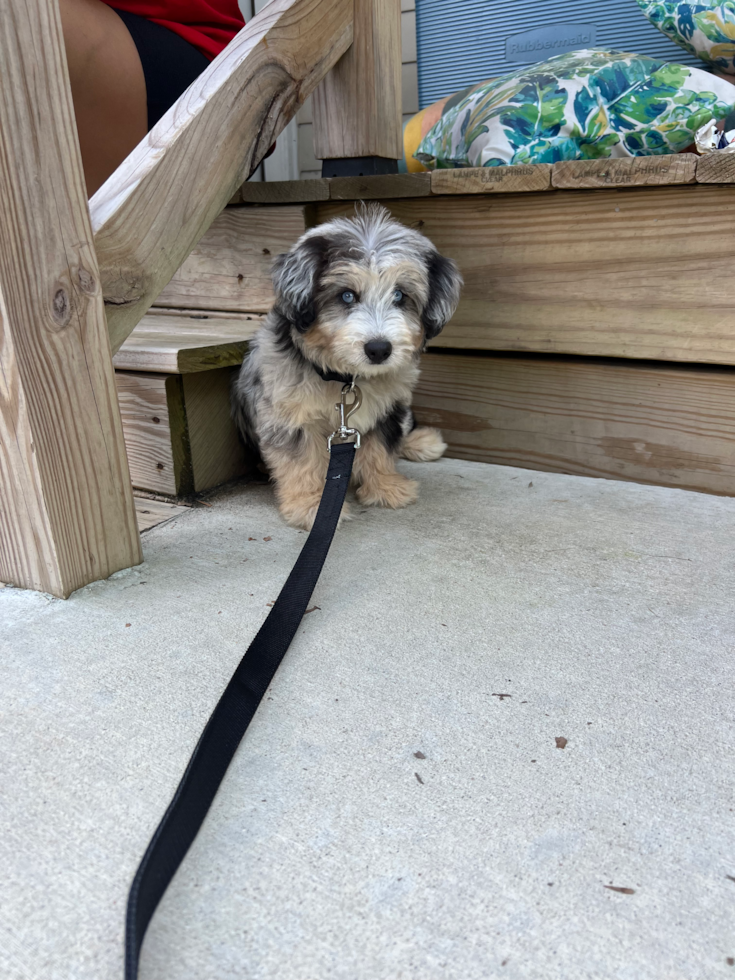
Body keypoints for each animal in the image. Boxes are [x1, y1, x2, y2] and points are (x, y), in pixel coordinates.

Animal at [231, 203, 460, 532]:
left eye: (400, 295)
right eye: (347, 295)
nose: (379, 349)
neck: (344, 378)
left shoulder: (387, 410)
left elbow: (381, 448)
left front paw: (385, 487)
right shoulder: (289, 418)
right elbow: (302, 462)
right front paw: (311, 506)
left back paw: (421, 442)